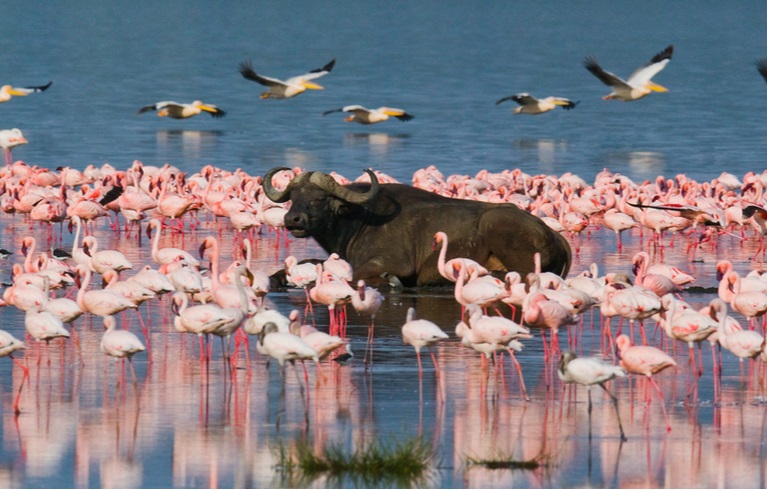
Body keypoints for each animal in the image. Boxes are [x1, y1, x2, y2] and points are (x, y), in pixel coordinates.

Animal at [264, 167, 568, 288]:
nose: (292, 220)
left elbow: (356, 275)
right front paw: (278, 277)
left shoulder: (394, 263)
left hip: (498, 225)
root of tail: (553, 234)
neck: (360, 220)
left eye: (319, 198)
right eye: (294, 197)